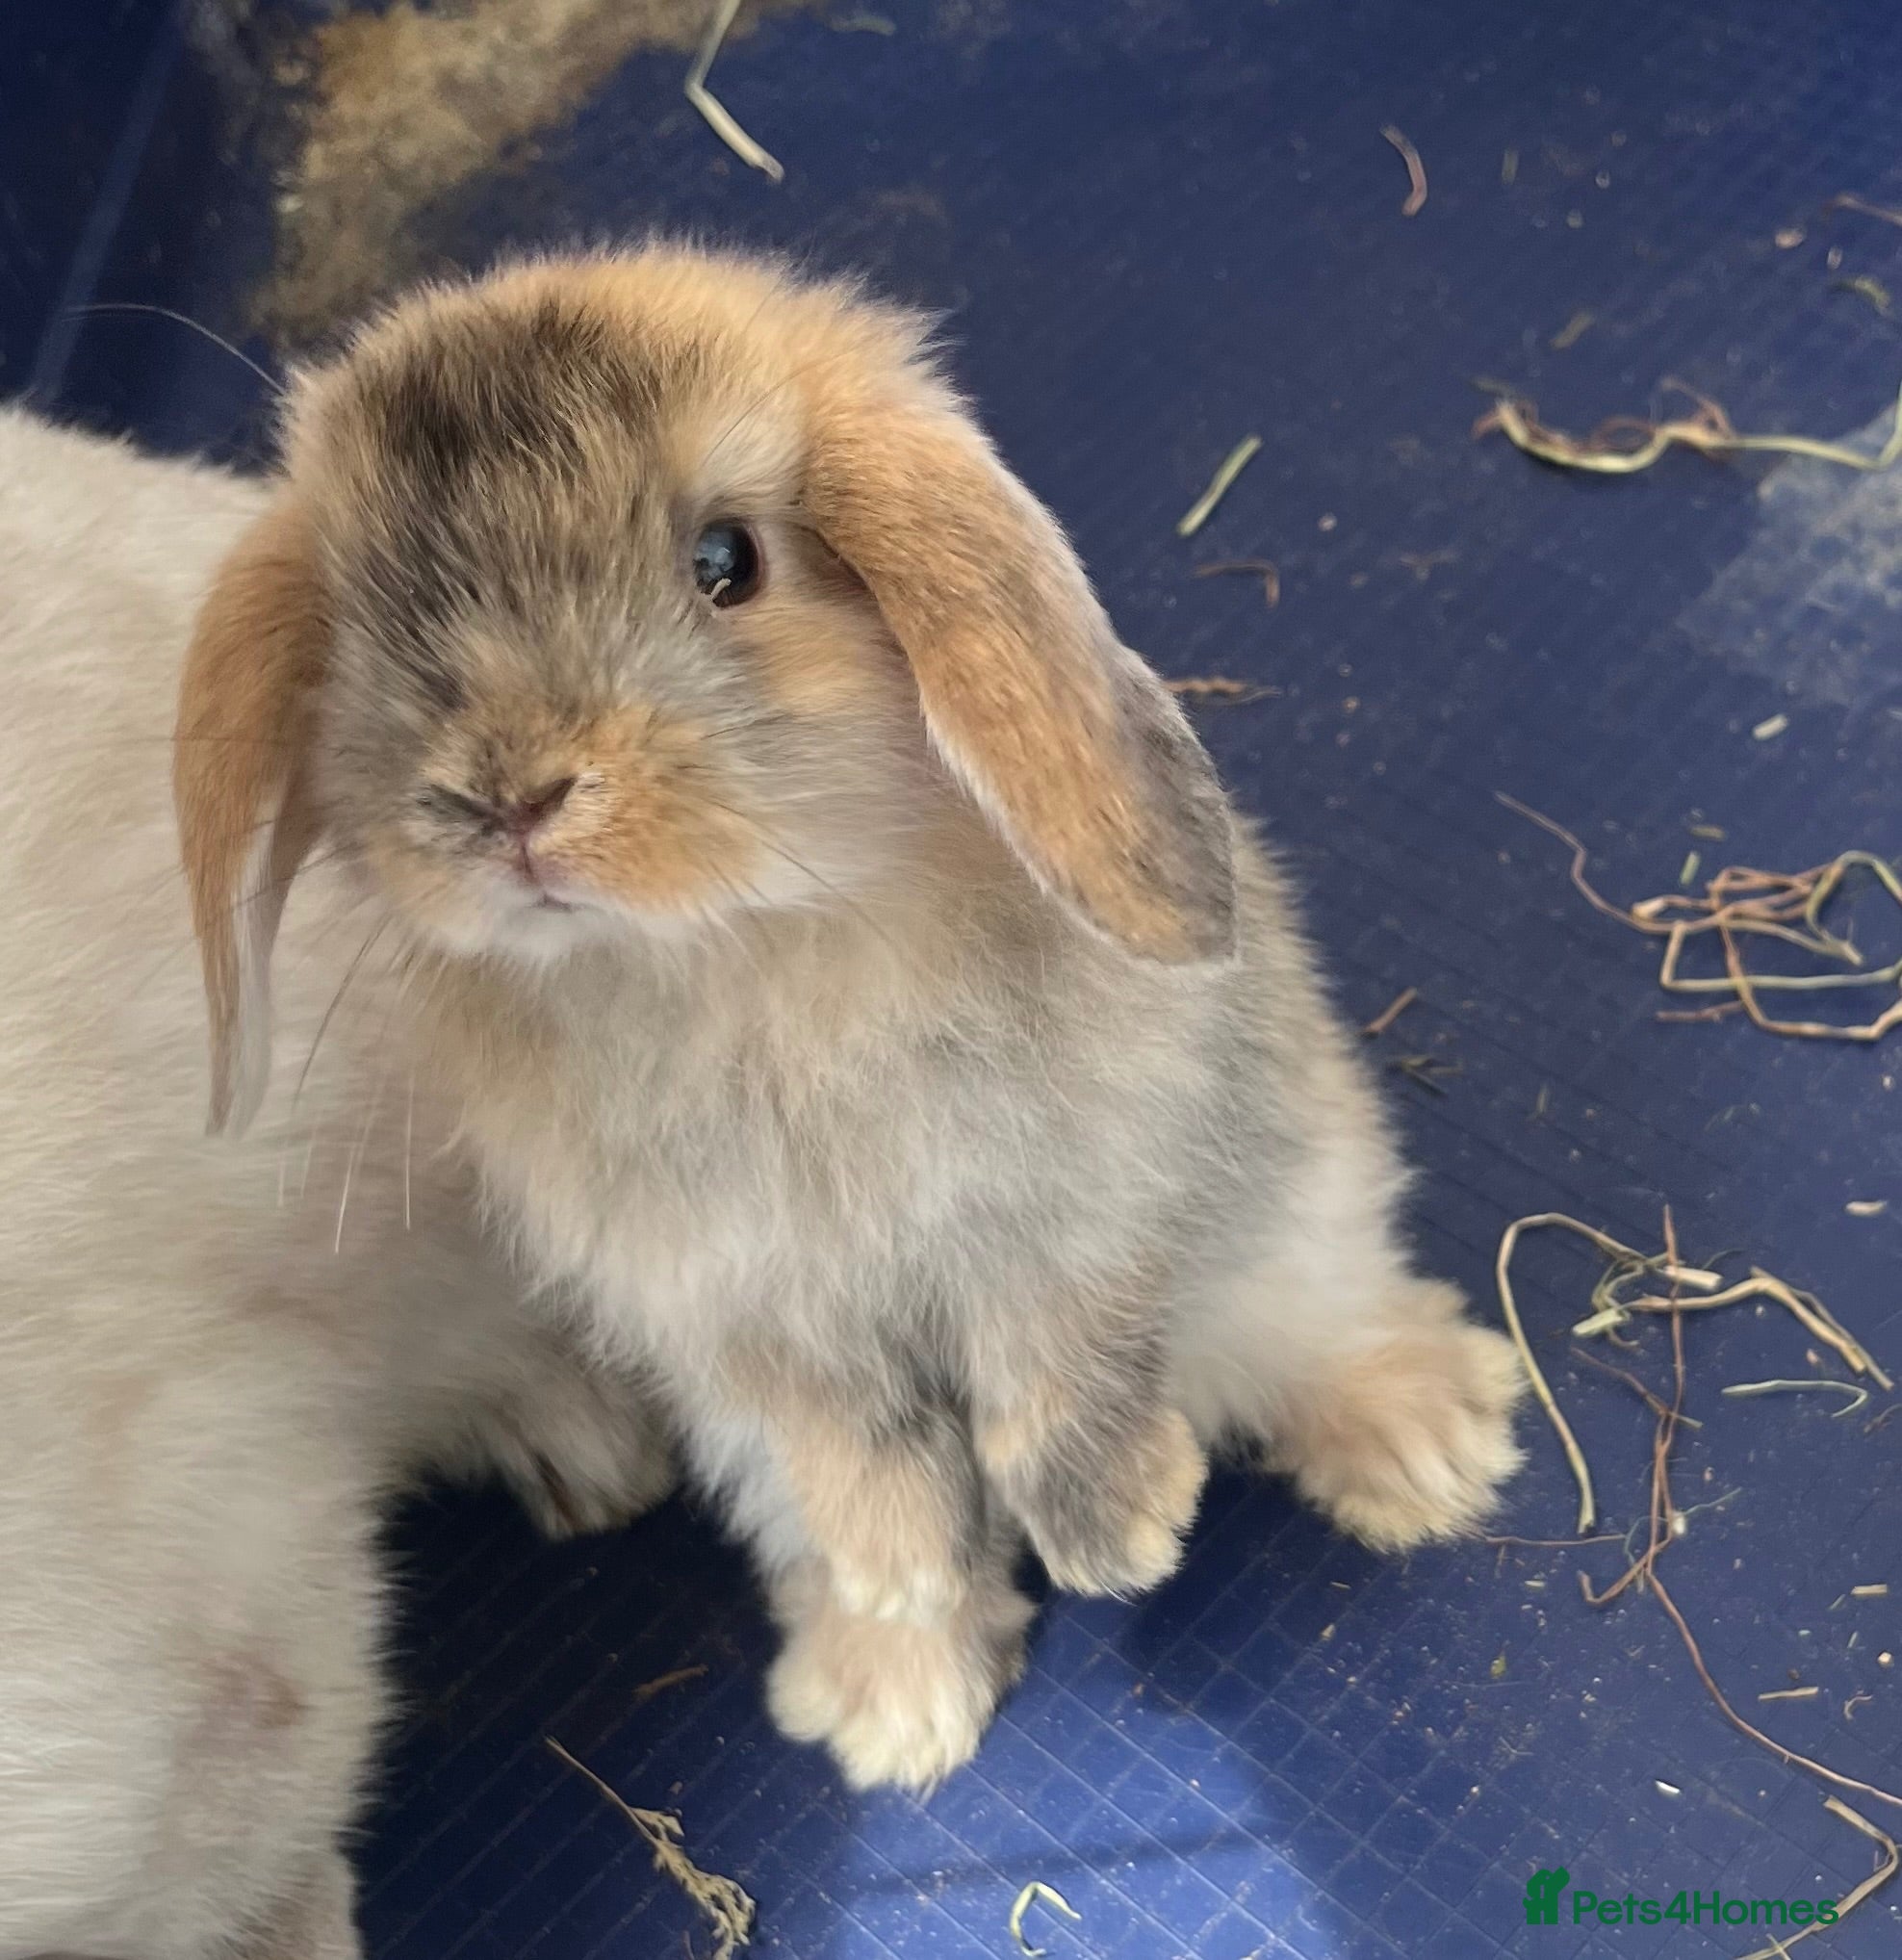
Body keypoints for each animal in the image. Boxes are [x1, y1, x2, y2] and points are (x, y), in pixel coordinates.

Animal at [170, 245, 1526, 1793]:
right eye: (356, 623)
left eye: (726, 562)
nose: (506, 798)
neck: (735, 951)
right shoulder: (746, 1318)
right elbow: (864, 1458)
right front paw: (903, 1582)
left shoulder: (1072, 1207)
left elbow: (1063, 1374)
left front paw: (1123, 1536)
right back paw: (886, 1705)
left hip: (1297, 1215)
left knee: (1326, 1326)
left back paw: (1430, 1450)